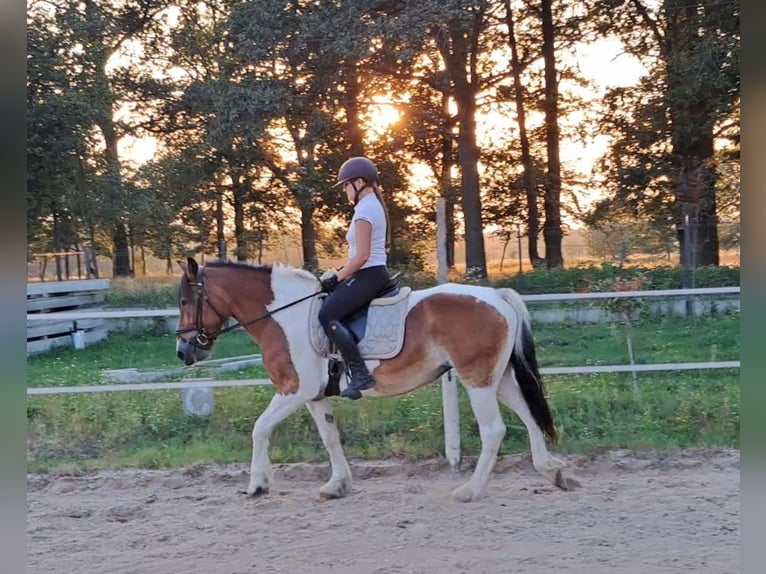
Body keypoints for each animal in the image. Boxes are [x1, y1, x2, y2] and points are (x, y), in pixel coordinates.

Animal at [176, 258, 584, 504]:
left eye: (184, 301)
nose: (183, 351)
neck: (282, 315)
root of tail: (495, 295)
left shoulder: (294, 389)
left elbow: (260, 428)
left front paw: (257, 485)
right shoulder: (314, 395)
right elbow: (330, 436)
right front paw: (338, 485)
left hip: (477, 379)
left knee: (494, 430)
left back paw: (470, 490)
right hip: (498, 378)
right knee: (528, 416)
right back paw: (552, 473)